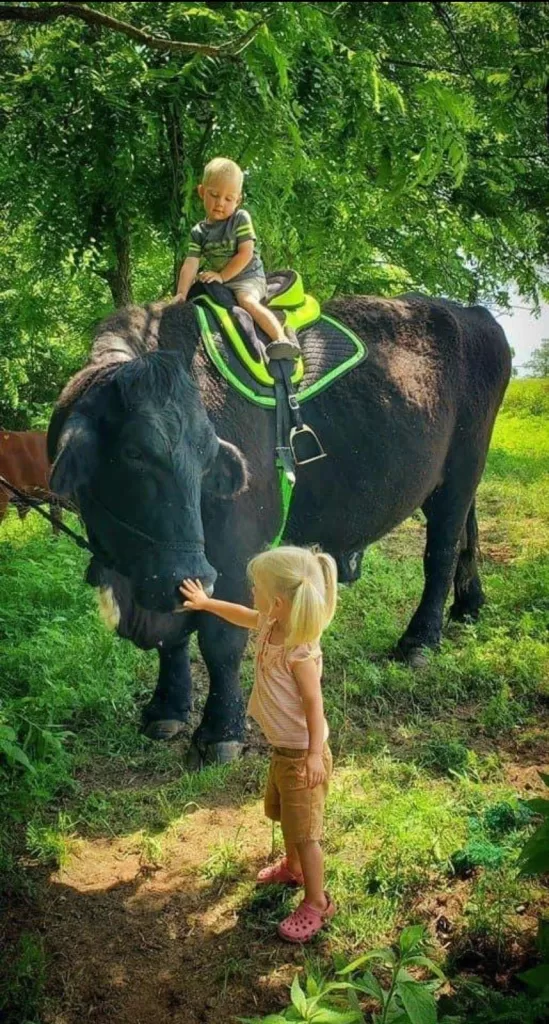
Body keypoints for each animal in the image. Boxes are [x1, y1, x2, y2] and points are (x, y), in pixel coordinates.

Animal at [47, 292, 510, 765]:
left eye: (207, 455)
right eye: (133, 453)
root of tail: (472, 313)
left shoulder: (230, 554)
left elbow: (221, 638)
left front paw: (221, 733)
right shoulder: (167, 567)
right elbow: (172, 636)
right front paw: (167, 709)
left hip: (461, 472)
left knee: (441, 552)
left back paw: (420, 639)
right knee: (467, 536)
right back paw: (469, 604)